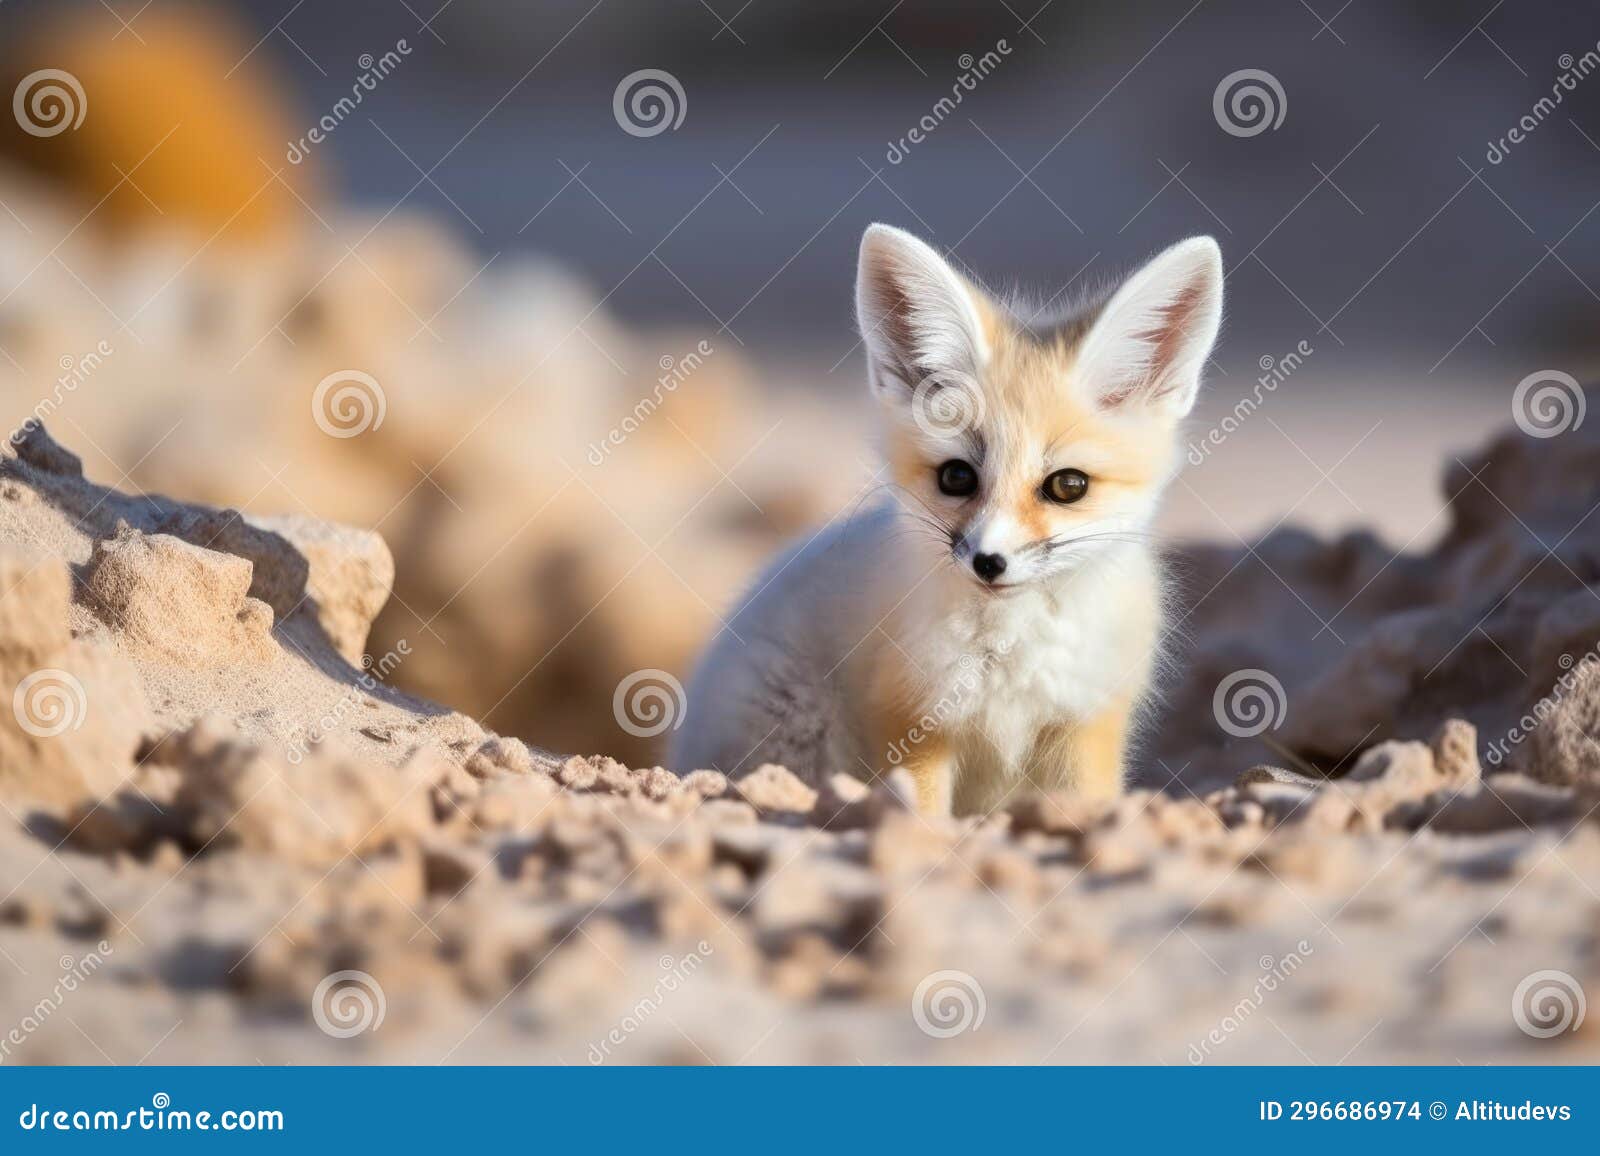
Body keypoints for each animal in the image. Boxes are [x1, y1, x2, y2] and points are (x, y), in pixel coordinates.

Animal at [670, 224, 1223, 817]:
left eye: (1067, 486)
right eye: (957, 477)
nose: (989, 561)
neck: (1010, 653)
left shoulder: (1083, 722)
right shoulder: (913, 721)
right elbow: (926, 813)